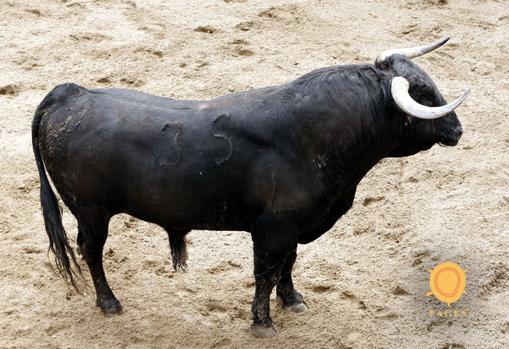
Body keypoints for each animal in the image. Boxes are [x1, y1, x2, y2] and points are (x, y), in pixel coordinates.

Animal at [31, 52, 464, 334]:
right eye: (424, 96)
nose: (457, 130)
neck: (315, 138)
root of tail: (69, 94)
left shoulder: (295, 227)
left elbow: (289, 264)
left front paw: (293, 300)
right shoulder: (273, 230)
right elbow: (266, 273)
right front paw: (262, 323)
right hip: (91, 211)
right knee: (90, 250)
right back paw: (109, 302)